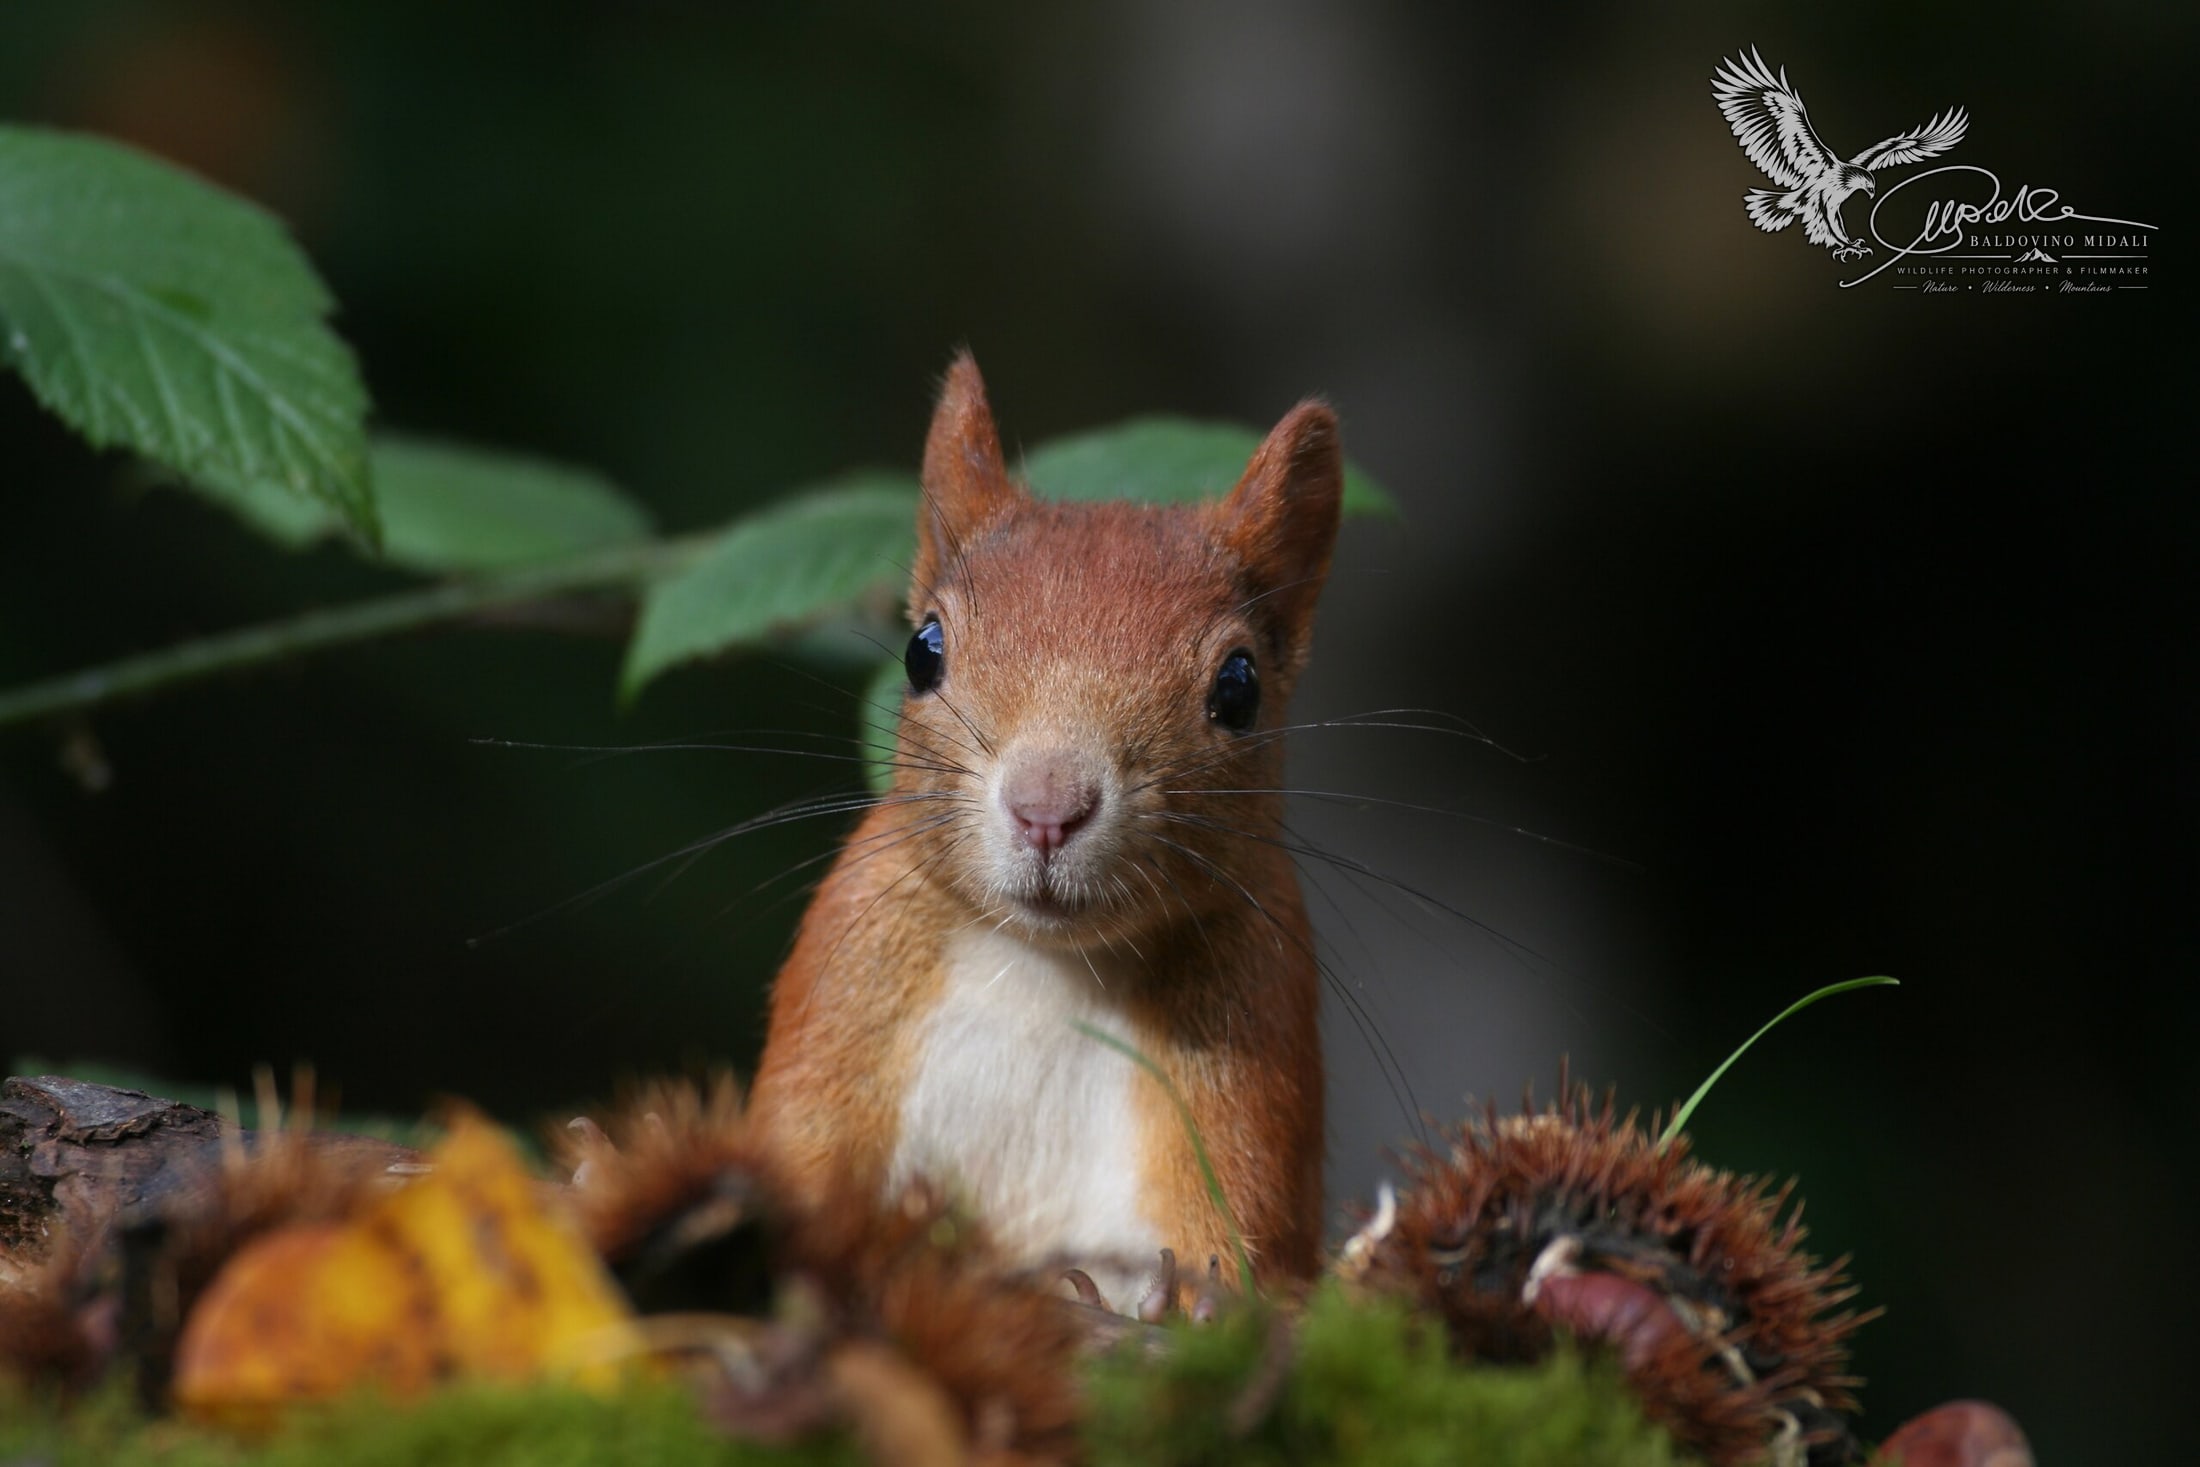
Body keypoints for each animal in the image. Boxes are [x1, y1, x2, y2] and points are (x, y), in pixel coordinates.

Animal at [748, 353, 1342, 1305]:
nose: (1047, 805)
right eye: (922, 649)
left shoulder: (1255, 1037)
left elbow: (1240, 1265)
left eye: (1240, 687)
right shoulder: (845, 980)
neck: (1042, 969)